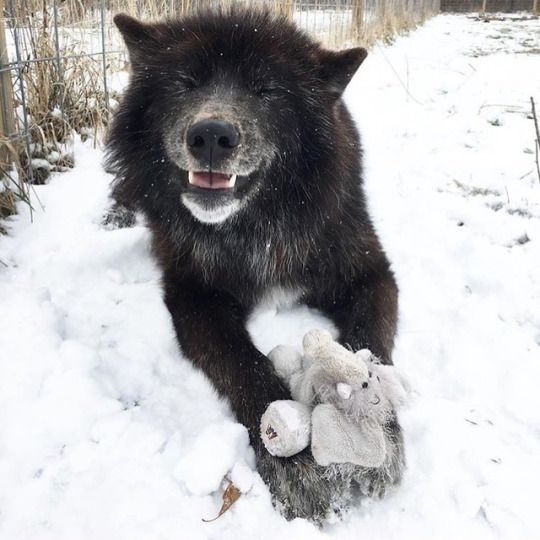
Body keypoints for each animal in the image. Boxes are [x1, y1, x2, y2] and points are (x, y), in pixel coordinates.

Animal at [106, 9, 400, 524]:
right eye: (186, 82)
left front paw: (379, 428)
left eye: (267, 90)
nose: (210, 136)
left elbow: (370, 348)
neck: (254, 229)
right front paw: (293, 459)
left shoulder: (370, 273)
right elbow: (243, 361)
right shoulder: (194, 295)